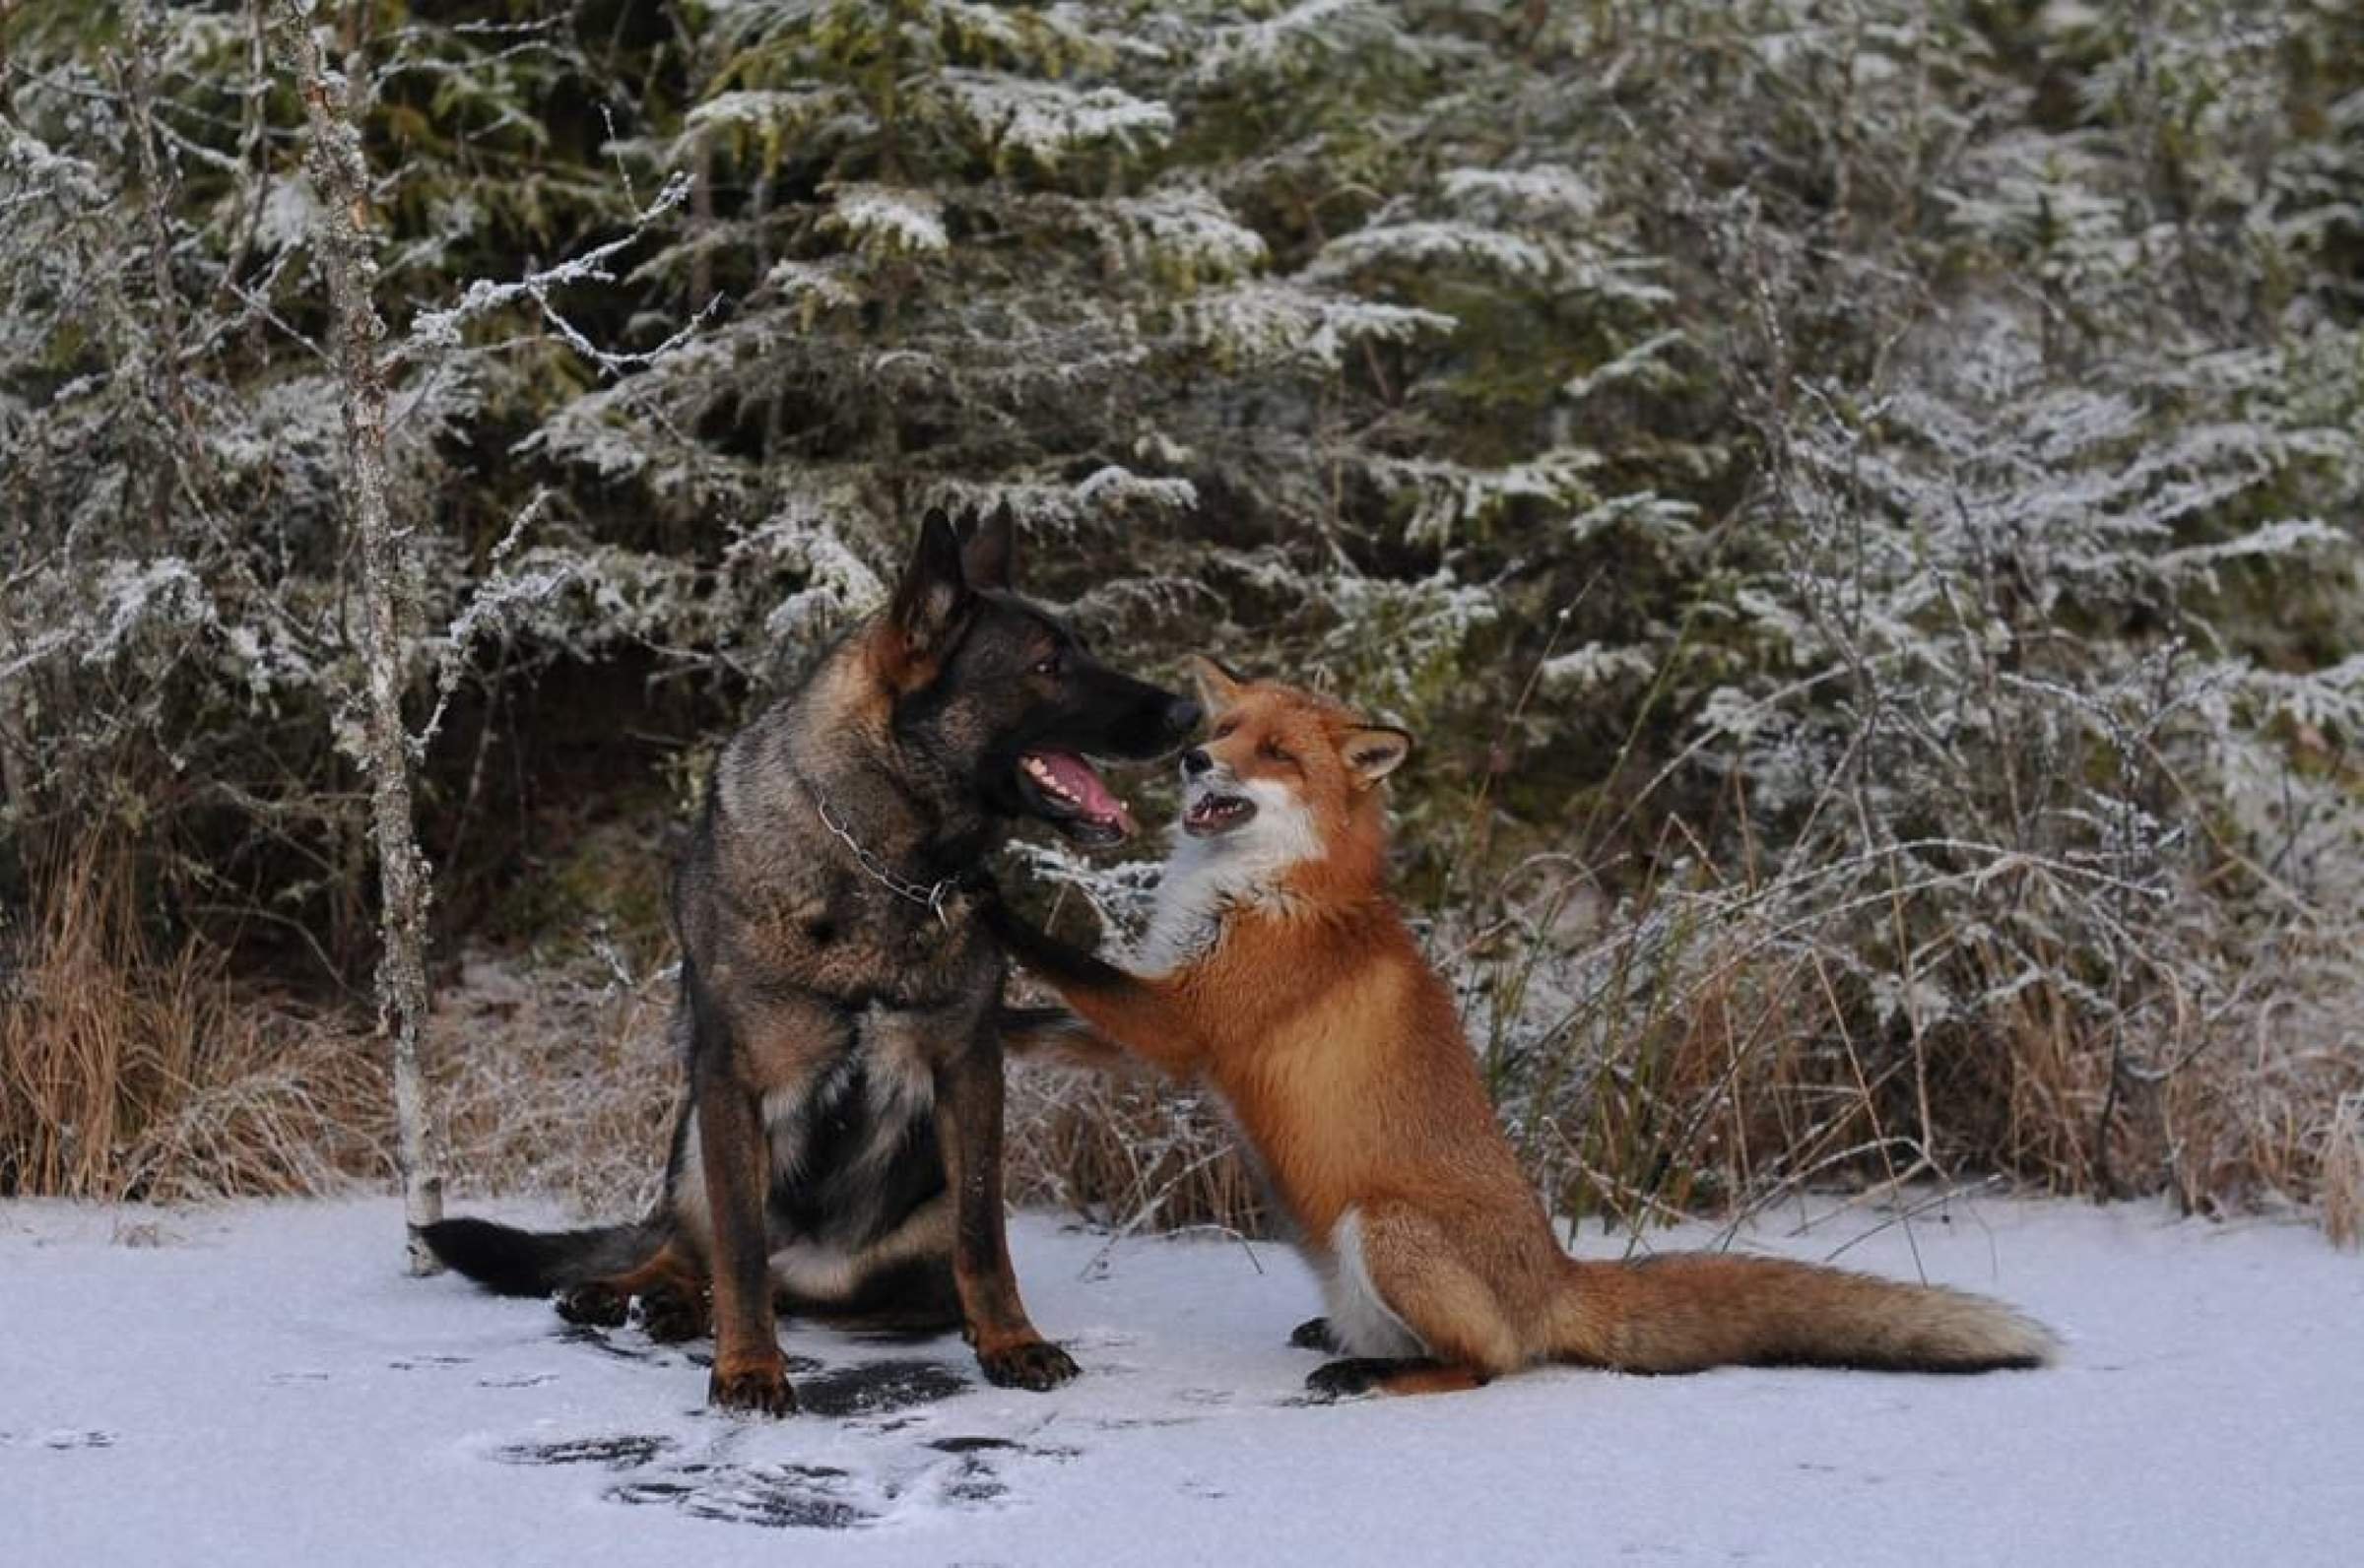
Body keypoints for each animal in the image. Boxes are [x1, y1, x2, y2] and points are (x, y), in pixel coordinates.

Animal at [416, 508, 1191, 1418]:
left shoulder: (970, 1068)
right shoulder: (731, 1080)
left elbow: (984, 1236)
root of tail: (812, 1271)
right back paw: (633, 1293)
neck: (884, 868)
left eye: (1083, 649)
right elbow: (740, 1249)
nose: (1186, 711)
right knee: (691, 1250)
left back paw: (678, 1307)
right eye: (1047, 666)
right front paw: (749, 1366)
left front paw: (1010, 1341)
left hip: (898, 1253)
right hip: (691, 1147)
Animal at [988, 662, 2061, 1400]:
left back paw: (1370, 1375)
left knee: (1488, 1363)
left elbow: (1071, 962)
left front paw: (991, 904)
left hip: (1383, 1225)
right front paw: (987, 1021)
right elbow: (1048, 1021)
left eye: (1277, 754)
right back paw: (1345, 1341)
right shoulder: (1154, 1030)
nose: (1191, 757)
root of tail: (1556, 1271)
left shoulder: (1185, 1022)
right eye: (1226, 729)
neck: (1266, 889)